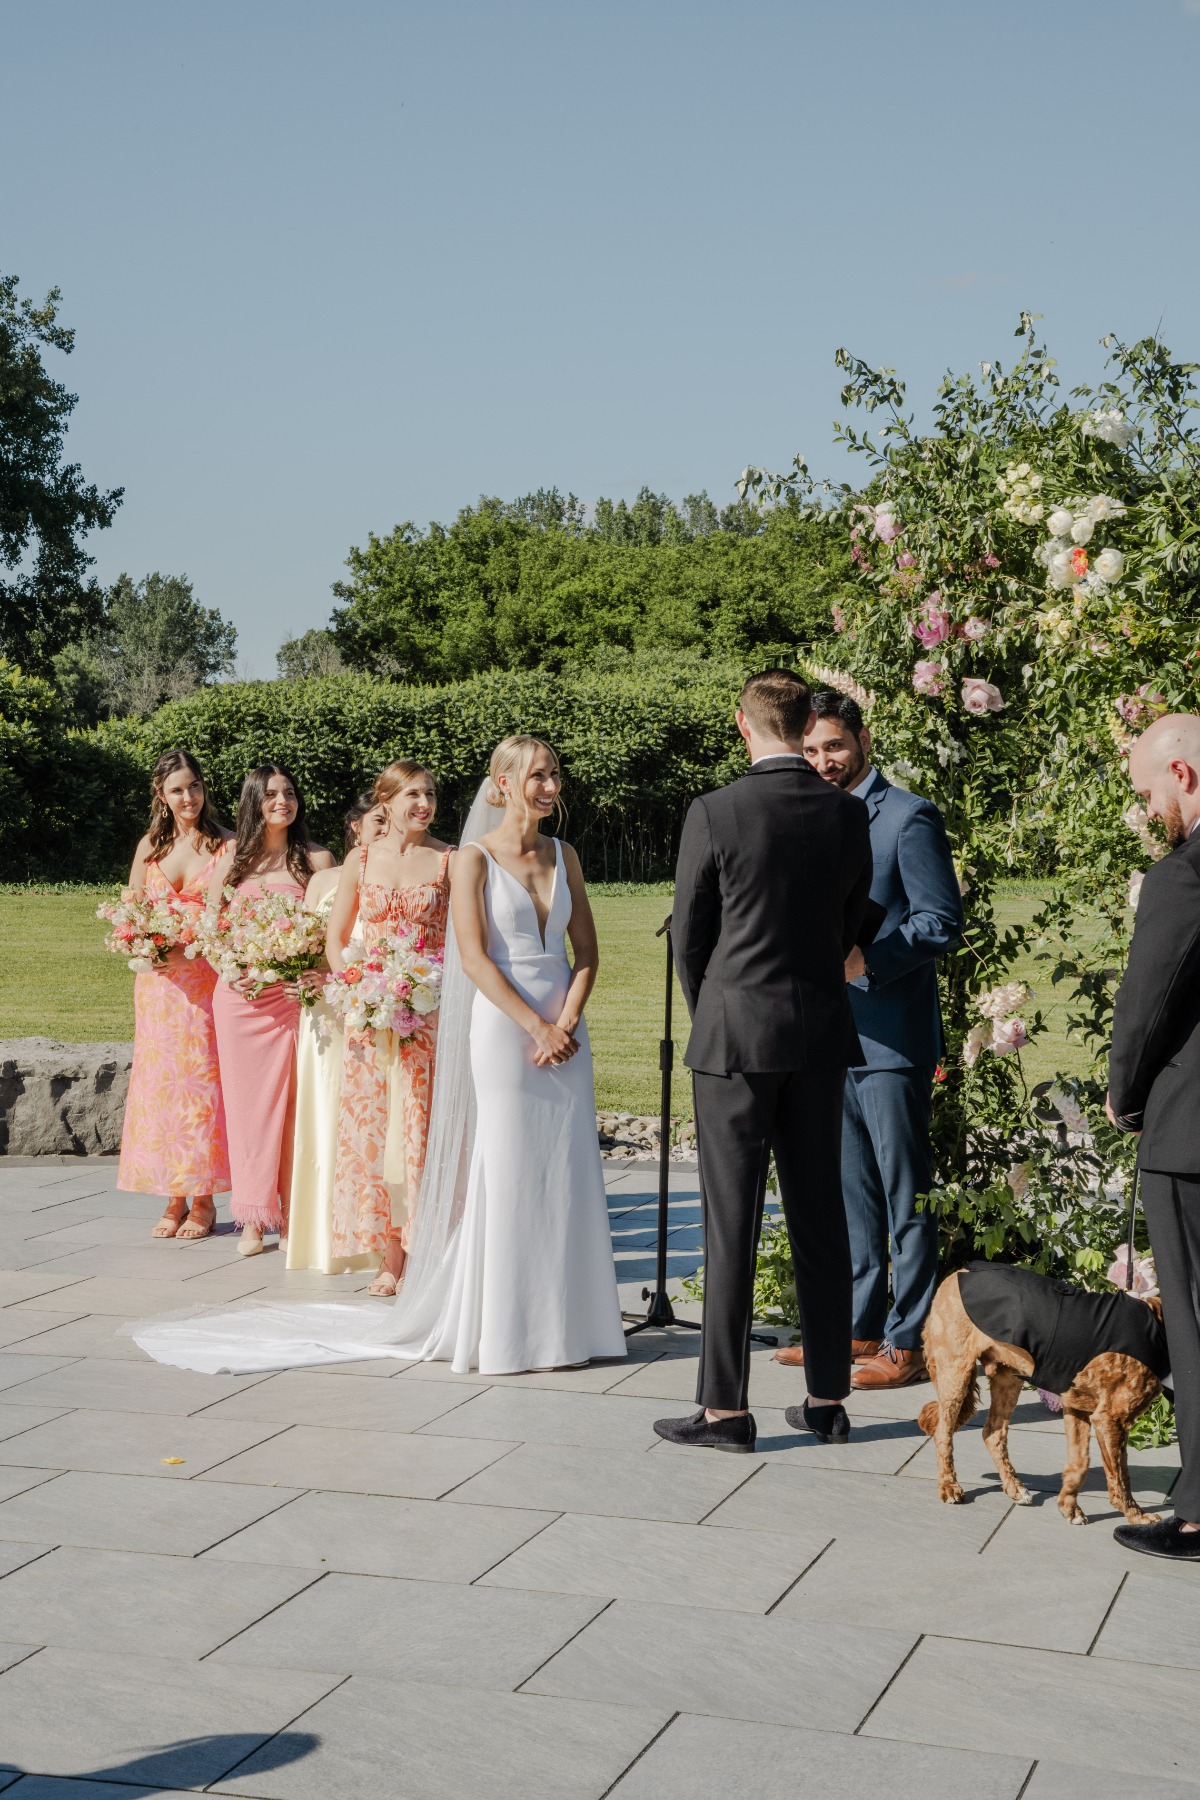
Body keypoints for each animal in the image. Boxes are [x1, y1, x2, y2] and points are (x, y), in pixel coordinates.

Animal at [921, 1260, 1165, 1526]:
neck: (1158, 1330)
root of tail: (957, 1273)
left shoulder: (1077, 1407)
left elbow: (1080, 1462)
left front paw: (1069, 1507)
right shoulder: (1112, 1419)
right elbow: (1121, 1476)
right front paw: (1136, 1515)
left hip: (1007, 1377)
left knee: (992, 1432)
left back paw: (1015, 1488)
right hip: (955, 1372)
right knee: (943, 1433)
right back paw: (949, 1486)